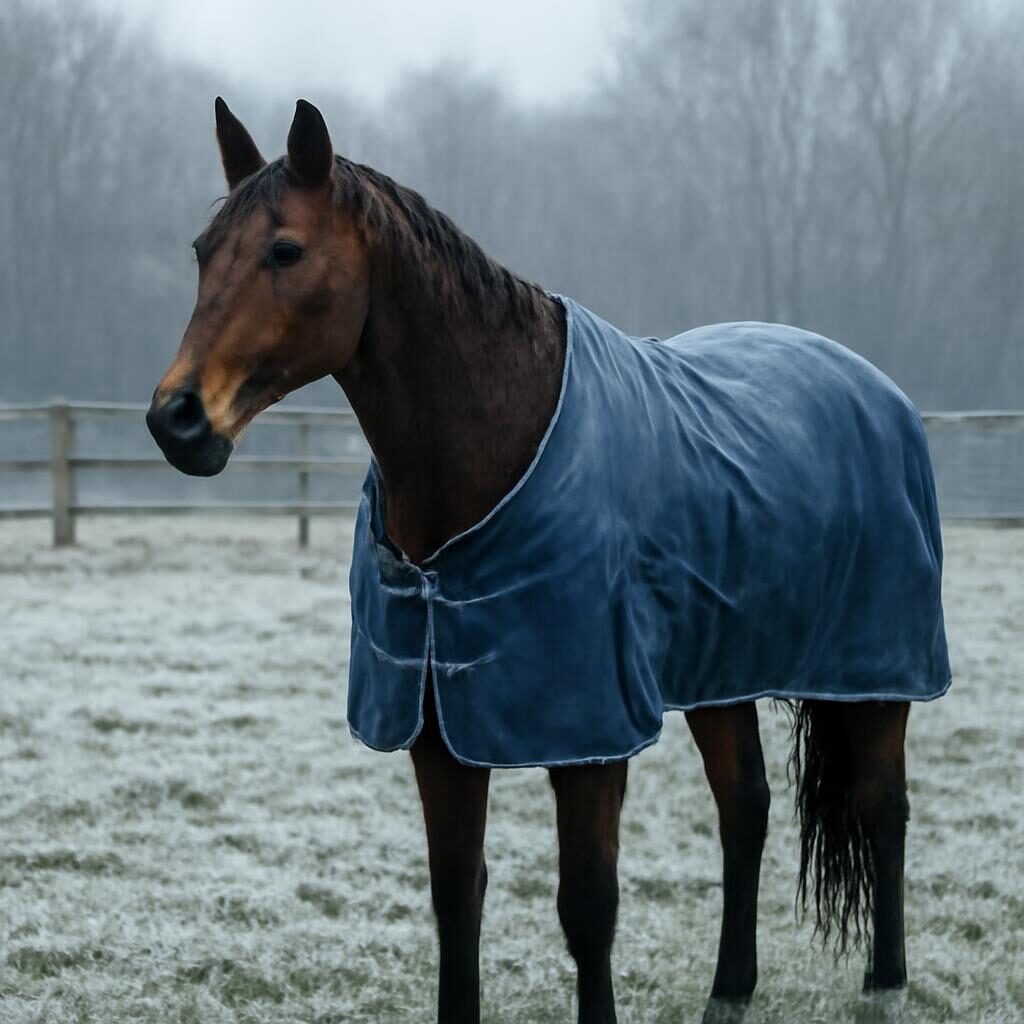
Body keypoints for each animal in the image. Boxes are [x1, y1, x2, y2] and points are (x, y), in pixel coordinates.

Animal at [147, 98, 950, 1024]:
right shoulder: (439, 731)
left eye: (285, 250)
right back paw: (730, 990)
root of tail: (875, 386)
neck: (497, 446)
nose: (177, 420)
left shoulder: (590, 737)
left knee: (882, 807)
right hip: (722, 672)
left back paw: (885, 981)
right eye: (202, 251)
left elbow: (588, 907)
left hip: (881, 674)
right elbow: (457, 897)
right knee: (745, 809)